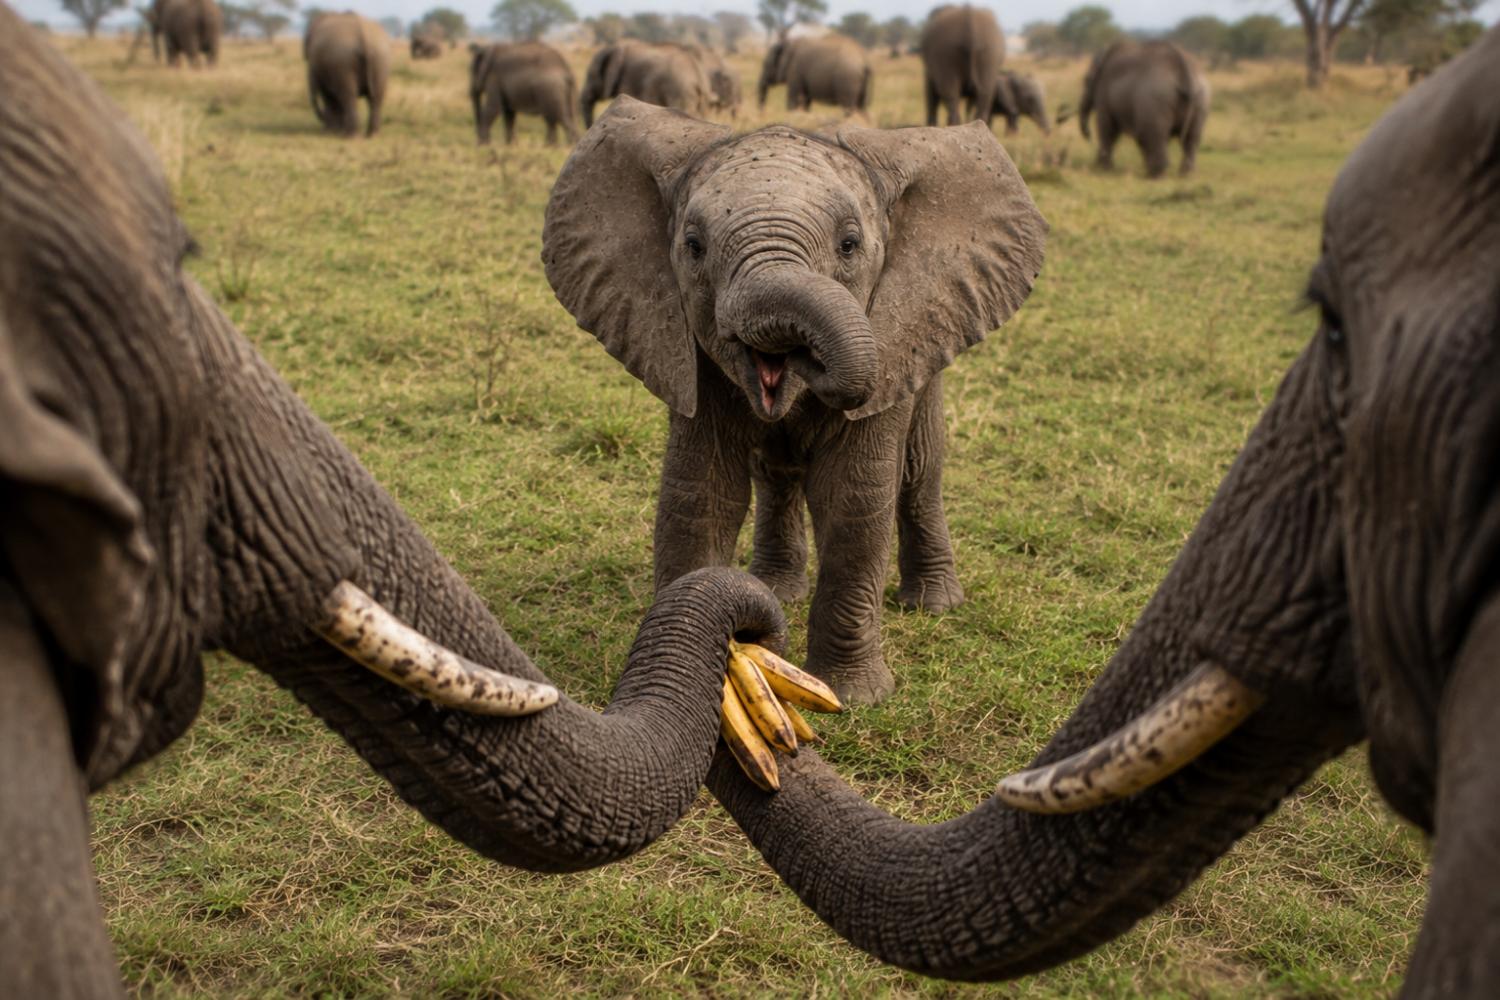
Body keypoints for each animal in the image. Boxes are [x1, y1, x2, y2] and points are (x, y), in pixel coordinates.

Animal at [542, 98, 1046, 704]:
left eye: (850, 244)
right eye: (693, 247)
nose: (801, 355)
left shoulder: (894, 341)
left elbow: (852, 495)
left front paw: (853, 697)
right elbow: (702, 494)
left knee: (920, 468)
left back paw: (933, 604)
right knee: (776, 472)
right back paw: (777, 591)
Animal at [1080, 39, 1210, 178]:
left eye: (1086, 80)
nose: (1087, 135)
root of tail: (1184, 68)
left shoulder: (1103, 91)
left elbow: (1107, 128)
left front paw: (1103, 169)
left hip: (1156, 99)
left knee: (1151, 134)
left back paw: (1155, 174)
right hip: (1202, 98)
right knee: (1191, 138)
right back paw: (1185, 174)